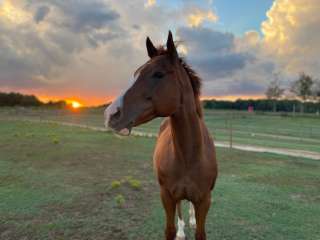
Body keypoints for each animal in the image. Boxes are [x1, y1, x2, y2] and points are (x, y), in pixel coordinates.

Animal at [105, 31, 218, 239]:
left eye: (158, 74)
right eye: (135, 74)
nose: (110, 114)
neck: (190, 156)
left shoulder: (204, 200)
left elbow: (200, 231)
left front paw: (193, 222)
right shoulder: (166, 196)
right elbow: (169, 230)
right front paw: (179, 231)